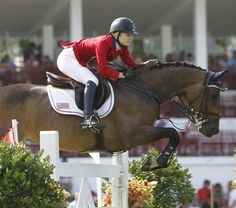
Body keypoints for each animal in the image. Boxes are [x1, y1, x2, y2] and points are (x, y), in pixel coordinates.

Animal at [0, 62, 229, 171]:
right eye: (214, 95)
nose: (213, 130)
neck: (143, 89)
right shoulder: (134, 134)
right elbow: (174, 134)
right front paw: (155, 162)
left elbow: (173, 135)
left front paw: (154, 162)